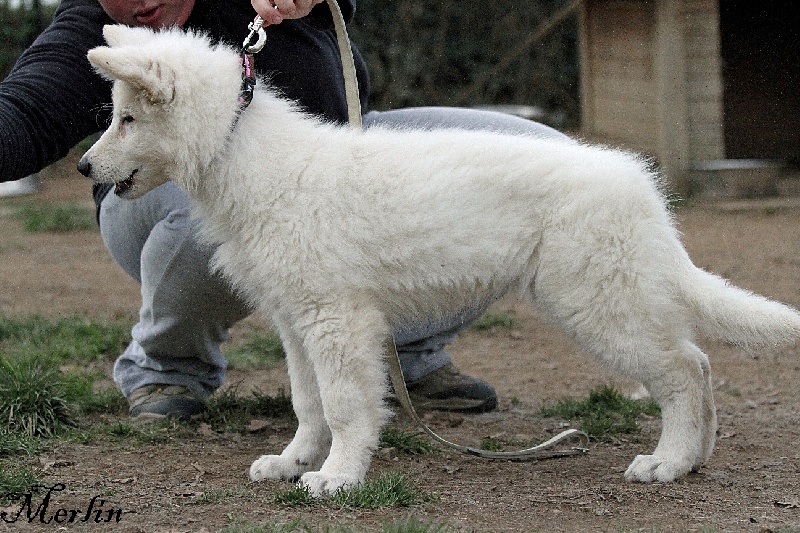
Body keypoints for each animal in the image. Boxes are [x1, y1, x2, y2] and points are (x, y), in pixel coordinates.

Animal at [79, 26, 800, 494]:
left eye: (127, 119)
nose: (84, 167)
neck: (244, 158)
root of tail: (641, 187)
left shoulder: (336, 320)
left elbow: (345, 405)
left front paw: (339, 476)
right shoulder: (295, 320)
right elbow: (309, 403)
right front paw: (294, 462)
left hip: (596, 301)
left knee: (681, 370)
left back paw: (667, 462)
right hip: (610, 297)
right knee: (699, 363)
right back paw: (695, 458)